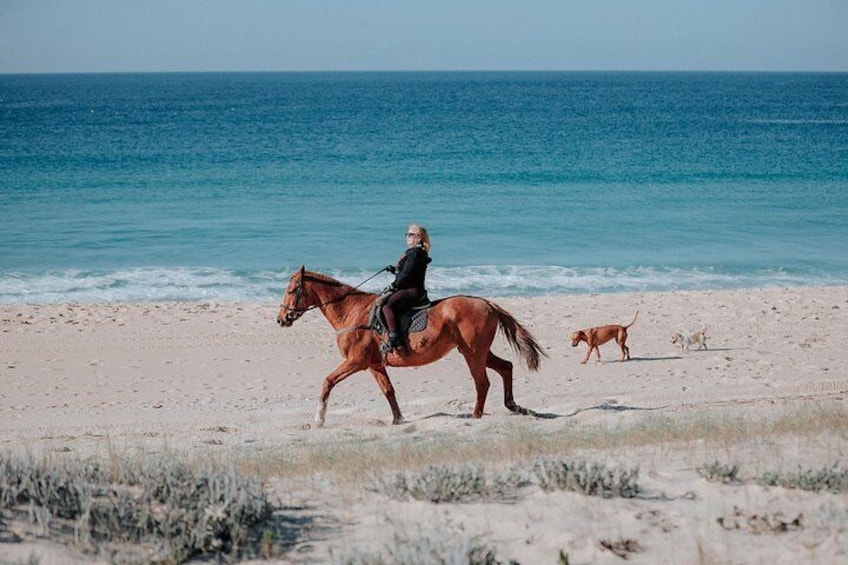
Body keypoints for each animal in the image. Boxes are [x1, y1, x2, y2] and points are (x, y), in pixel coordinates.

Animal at [276, 266, 546, 427]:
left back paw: (476, 416)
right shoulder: (374, 365)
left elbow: (327, 382)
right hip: (478, 352)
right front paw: (398, 419)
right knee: (506, 367)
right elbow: (388, 391)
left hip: (473, 354)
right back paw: (513, 406)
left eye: (292, 290)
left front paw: (318, 420)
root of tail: (487, 303)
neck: (352, 312)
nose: (281, 319)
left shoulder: (356, 362)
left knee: (483, 382)